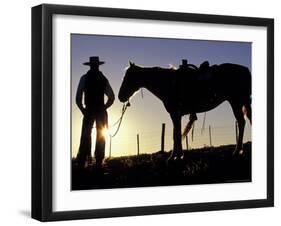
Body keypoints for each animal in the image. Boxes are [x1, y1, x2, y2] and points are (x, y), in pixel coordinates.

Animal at [117, 61, 250, 160]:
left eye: (128, 77)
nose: (120, 96)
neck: (168, 84)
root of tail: (245, 70)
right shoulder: (177, 115)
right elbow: (177, 132)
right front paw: (178, 155)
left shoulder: (175, 114)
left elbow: (176, 134)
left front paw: (174, 157)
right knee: (243, 121)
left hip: (235, 102)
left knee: (241, 122)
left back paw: (237, 151)